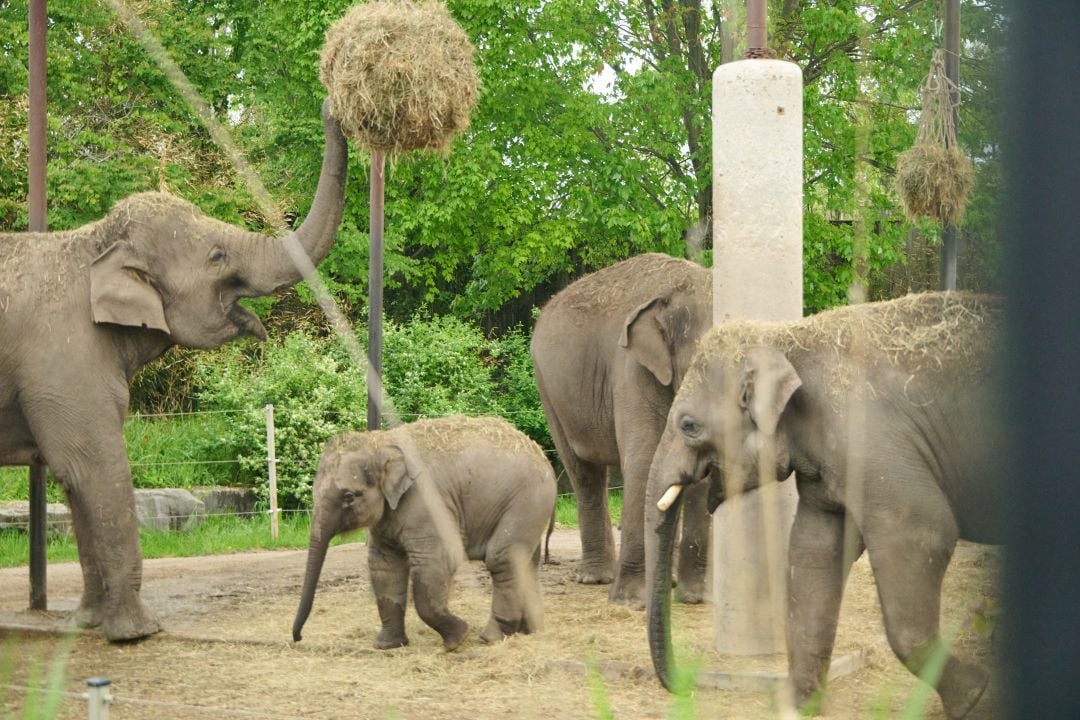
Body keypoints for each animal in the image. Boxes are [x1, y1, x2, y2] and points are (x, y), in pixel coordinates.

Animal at [0, 98, 347, 641]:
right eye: (217, 256)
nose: (332, 101)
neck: (91, 244)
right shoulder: (63, 360)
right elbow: (94, 466)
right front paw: (138, 633)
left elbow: (75, 481)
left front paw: (85, 625)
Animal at [292, 415, 557, 650]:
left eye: (349, 496)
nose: (298, 638)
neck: (379, 443)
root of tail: (542, 455)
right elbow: (384, 566)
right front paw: (386, 645)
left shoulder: (427, 505)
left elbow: (437, 561)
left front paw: (457, 639)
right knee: (526, 562)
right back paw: (529, 631)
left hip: (528, 500)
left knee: (503, 559)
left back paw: (490, 637)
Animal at [530, 252, 714, 607]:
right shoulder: (632, 369)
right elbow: (643, 463)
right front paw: (631, 600)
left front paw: (693, 598)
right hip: (550, 393)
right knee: (584, 473)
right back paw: (597, 578)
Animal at [647, 292, 1003, 720]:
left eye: (688, 425)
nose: (685, 686)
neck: (787, 340)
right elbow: (813, 552)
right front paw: (795, 705)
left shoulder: (871, 442)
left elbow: (924, 531)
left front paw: (975, 696)